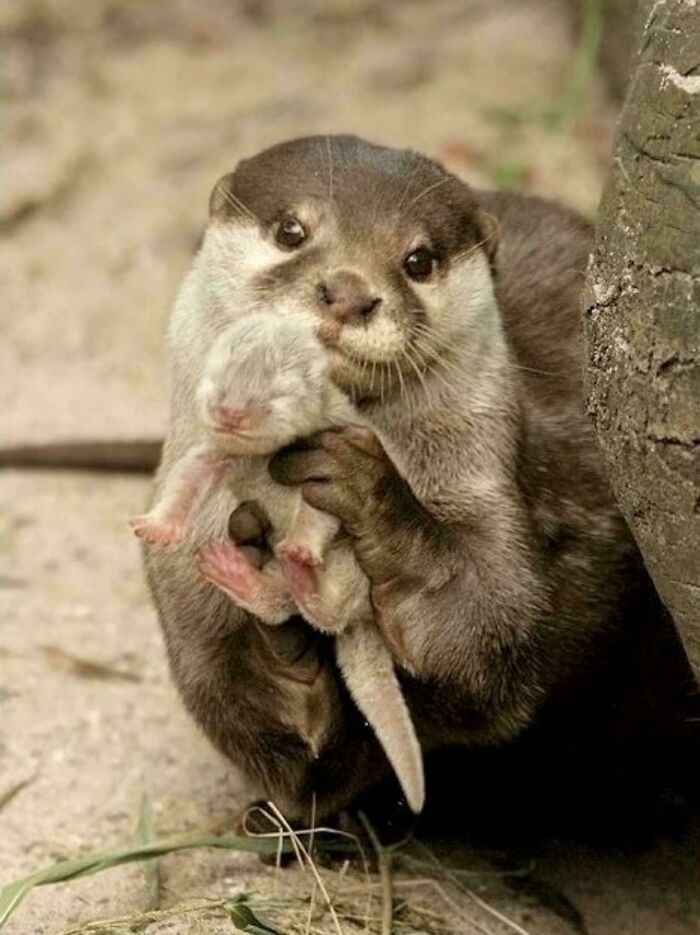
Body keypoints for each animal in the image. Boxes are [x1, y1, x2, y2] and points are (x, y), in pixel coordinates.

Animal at [143, 135, 693, 823]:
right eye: (291, 230)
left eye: (419, 260)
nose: (348, 291)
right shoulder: (182, 584)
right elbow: (264, 735)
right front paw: (276, 634)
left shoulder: (501, 492)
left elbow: (490, 631)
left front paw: (365, 489)